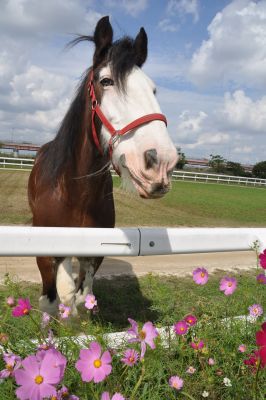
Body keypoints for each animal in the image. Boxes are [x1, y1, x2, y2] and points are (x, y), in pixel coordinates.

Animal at [28, 16, 179, 316]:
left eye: (153, 88)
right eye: (106, 81)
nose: (161, 161)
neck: (74, 193)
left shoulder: (94, 254)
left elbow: (81, 295)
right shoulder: (45, 254)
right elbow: (50, 300)